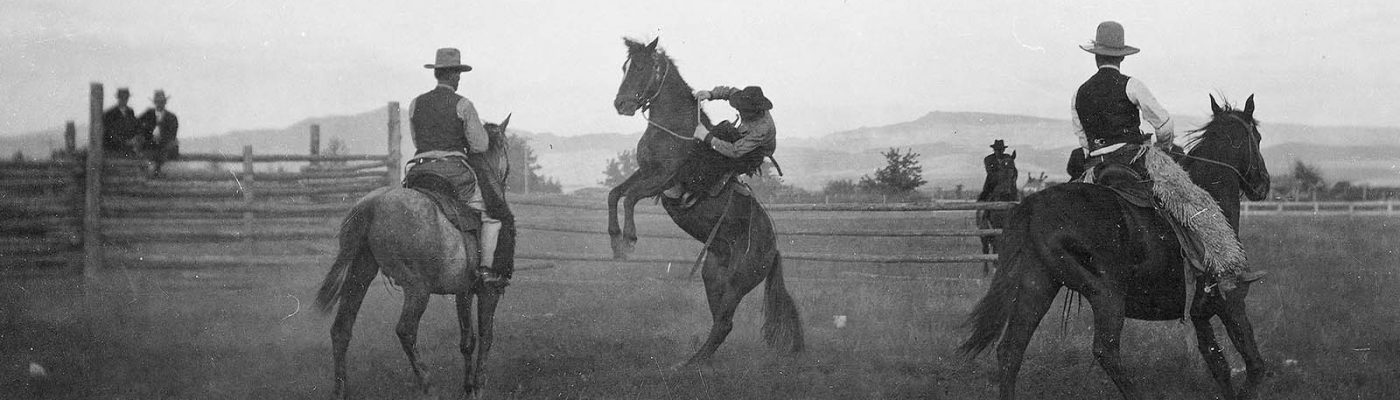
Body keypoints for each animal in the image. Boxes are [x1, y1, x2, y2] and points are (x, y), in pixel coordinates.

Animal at [312, 117, 515, 397]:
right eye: (506, 146)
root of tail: (372, 203)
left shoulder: (463, 291)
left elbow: (468, 341)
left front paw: (467, 388)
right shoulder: (489, 291)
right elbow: (486, 338)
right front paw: (478, 388)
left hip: (359, 274)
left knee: (342, 328)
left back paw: (340, 390)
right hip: (417, 288)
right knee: (406, 331)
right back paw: (429, 385)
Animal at [607, 37, 806, 366]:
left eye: (641, 67)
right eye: (624, 67)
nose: (621, 105)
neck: (678, 131)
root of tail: (773, 249)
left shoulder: (664, 178)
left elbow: (630, 198)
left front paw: (630, 239)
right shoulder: (645, 171)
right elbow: (615, 194)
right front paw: (615, 241)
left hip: (740, 280)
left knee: (724, 322)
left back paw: (691, 363)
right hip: (712, 275)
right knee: (721, 322)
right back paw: (694, 361)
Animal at [963, 94, 1271, 400]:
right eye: (1257, 137)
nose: (1263, 184)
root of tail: (1034, 206)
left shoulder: (1200, 311)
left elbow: (1217, 363)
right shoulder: (1230, 299)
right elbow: (1254, 364)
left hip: (1037, 286)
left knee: (1010, 350)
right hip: (1106, 295)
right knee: (1106, 351)